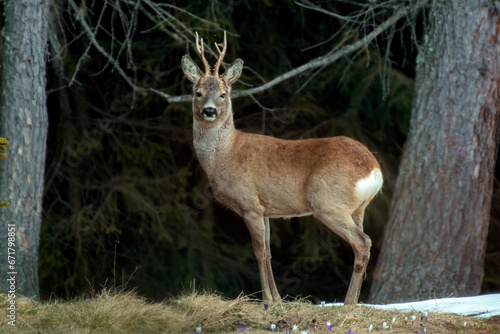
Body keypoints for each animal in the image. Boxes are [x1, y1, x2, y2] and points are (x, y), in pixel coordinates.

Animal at [182, 32, 380, 306]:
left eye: (223, 94)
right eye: (198, 92)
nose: (209, 110)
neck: (225, 154)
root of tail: (374, 169)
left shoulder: (249, 204)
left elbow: (258, 252)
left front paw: (266, 299)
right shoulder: (265, 209)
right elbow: (269, 253)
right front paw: (278, 298)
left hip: (329, 203)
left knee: (362, 243)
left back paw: (348, 303)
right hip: (358, 208)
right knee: (362, 243)